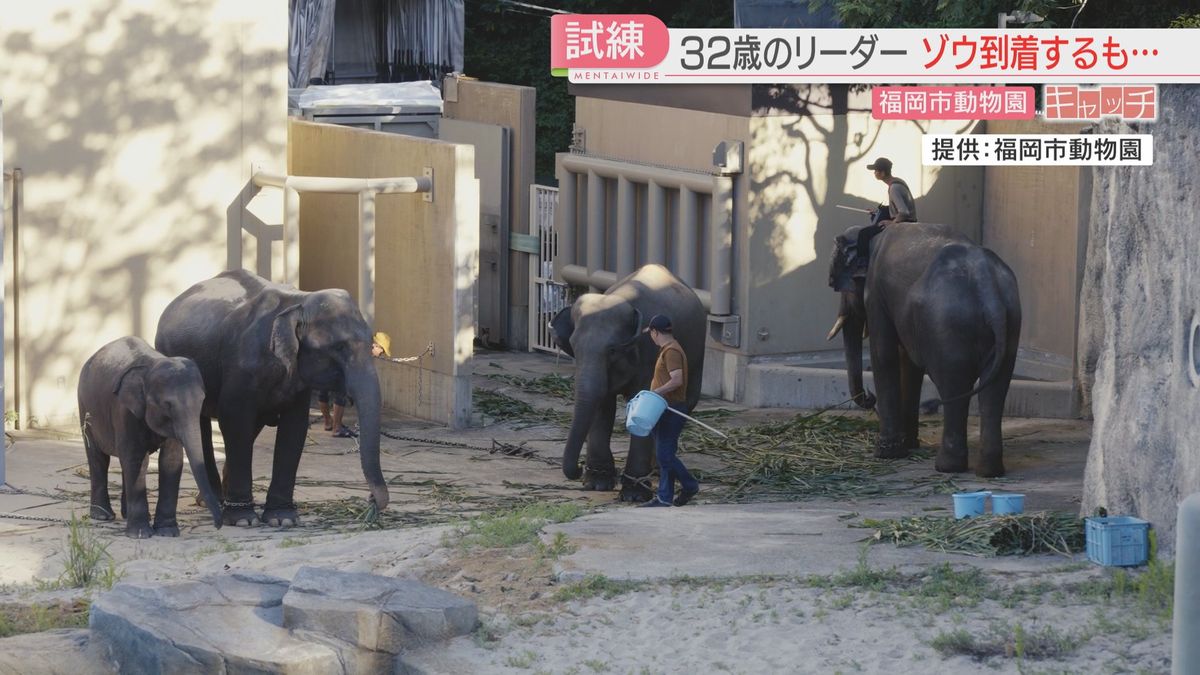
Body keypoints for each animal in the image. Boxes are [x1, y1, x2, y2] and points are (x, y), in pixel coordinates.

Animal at [78, 336, 223, 535]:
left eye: (202, 400)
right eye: (168, 404)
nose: (218, 525)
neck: (152, 365)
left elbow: (170, 461)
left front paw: (167, 532)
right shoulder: (125, 411)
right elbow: (136, 458)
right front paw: (140, 534)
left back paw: (126, 514)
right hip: (85, 407)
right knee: (97, 457)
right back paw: (103, 516)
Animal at [156, 267, 388, 526]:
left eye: (370, 344)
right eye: (339, 348)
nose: (370, 499)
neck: (299, 301)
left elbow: (295, 426)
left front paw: (282, 519)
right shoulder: (241, 366)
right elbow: (235, 420)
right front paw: (243, 520)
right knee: (201, 424)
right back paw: (212, 501)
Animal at [549, 263, 705, 499]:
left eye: (613, 350)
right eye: (574, 347)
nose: (578, 469)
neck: (623, 298)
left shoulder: (650, 354)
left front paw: (634, 494)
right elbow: (602, 403)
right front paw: (597, 484)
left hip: (697, 353)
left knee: (684, 403)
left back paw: (659, 469)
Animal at [830, 220, 1017, 473]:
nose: (869, 397)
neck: (873, 231)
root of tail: (988, 288)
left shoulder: (876, 293)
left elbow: (884, 354)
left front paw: (886, 453)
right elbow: (909, 364)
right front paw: (908, 444)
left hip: (947, 328)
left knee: (953, 385)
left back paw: (947, 466)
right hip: (1009, 323)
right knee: (995, 389)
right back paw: (988, 470)